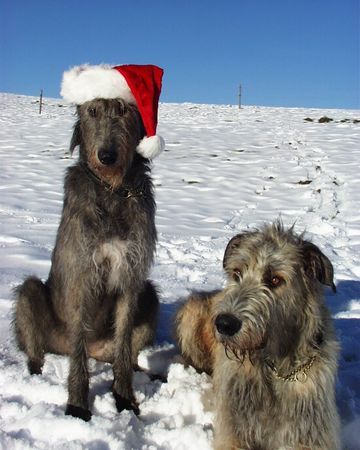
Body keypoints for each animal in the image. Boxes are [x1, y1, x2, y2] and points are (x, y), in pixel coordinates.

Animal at [176, 222, 340, 450]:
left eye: (275, 279)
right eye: (237, 273)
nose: (225, 324)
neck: (276, 368)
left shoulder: (311, 429)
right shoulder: (235, 425)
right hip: (192, 311)